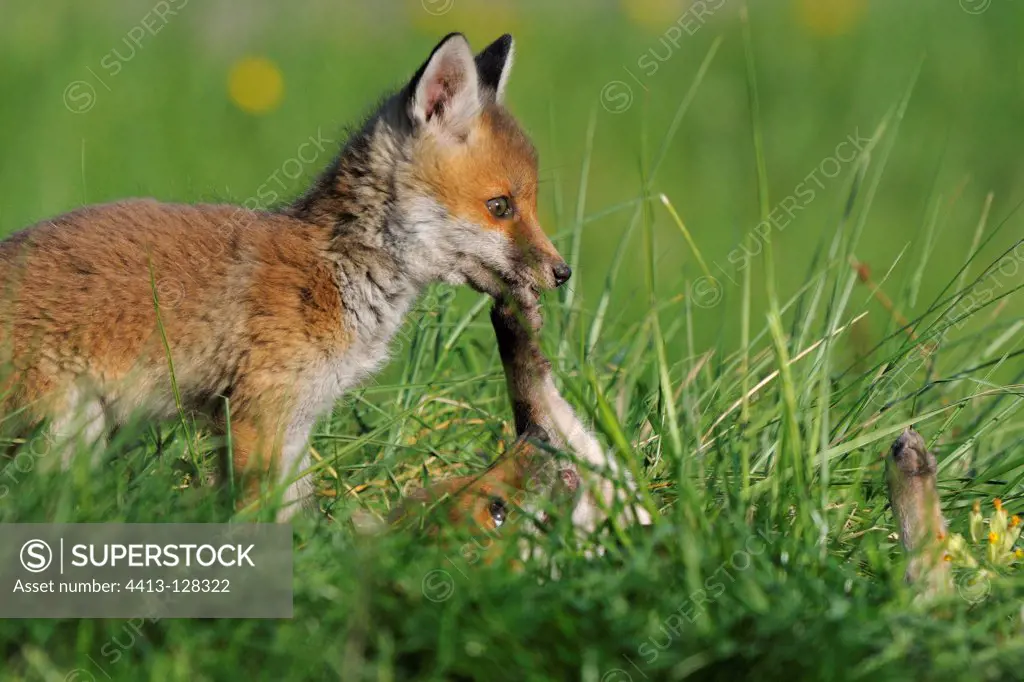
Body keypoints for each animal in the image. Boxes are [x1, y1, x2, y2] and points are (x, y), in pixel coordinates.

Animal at [0, 33, 593, 520]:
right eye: (500, 206)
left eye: (530, 204)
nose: (562, 272)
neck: (334, 273)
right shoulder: (257, 414)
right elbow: (260, 519)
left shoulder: (297, 422)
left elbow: (299, 517)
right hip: (61, 427)